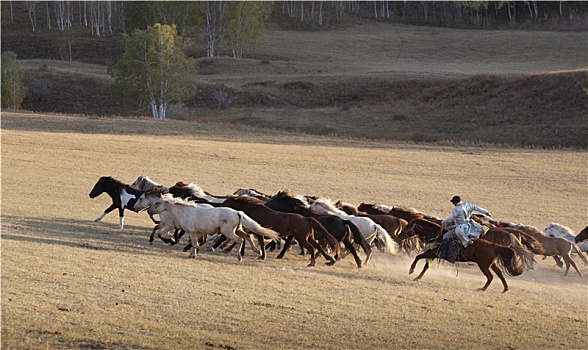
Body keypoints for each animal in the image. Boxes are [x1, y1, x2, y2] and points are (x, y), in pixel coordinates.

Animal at [137, 194, 280, 260]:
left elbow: (196, 244)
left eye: (157, 203)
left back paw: (239, 256)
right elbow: (195, 243)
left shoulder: (192, 232)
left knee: (240, 240)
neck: (184, 211)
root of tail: (237, 212)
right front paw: (192, 253)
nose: (149, 211)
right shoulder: (193, 232)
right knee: (248, 236)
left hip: (228, 232)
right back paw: (257, 251)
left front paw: (197, 251)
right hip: (237, 229)